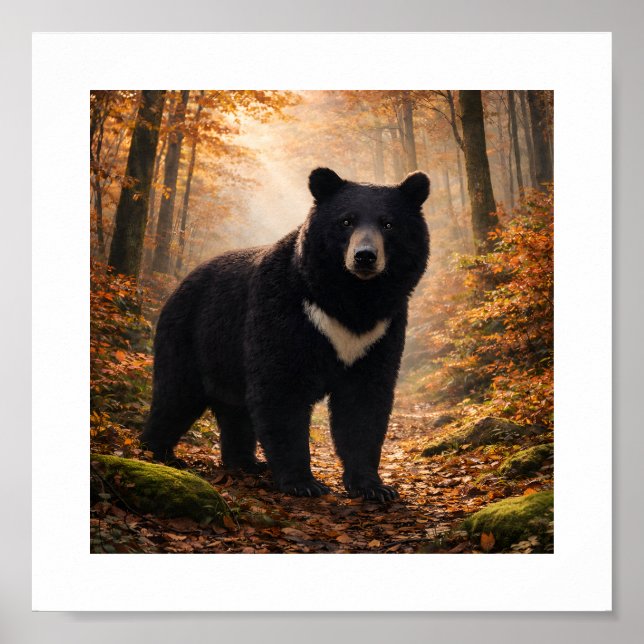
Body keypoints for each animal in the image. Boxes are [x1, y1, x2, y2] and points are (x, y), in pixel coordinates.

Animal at [141, 167, 430, 501]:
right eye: (346, 221)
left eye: (388, 223)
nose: (365, 256)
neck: (351, 301)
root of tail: (179, 285)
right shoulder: (284, 311)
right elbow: (281, 389)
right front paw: (303, 482)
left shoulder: (380, 332)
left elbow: (364, 402)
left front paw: (374, 487)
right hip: (190, 336)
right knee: (175, 394)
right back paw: (157, 452)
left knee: (234, 411)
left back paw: (246, 463)